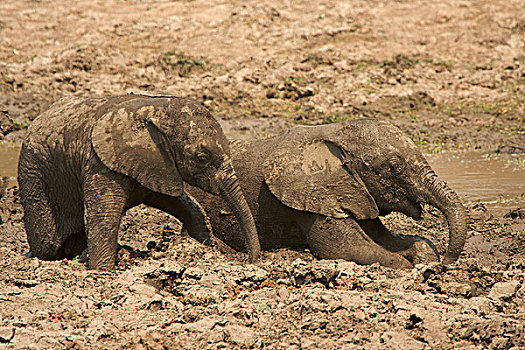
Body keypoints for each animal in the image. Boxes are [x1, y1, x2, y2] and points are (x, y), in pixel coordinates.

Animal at [17, 94, 260, 270]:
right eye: (202, 158)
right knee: (47, 243)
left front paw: (204, 246)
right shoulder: (100, 163)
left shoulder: (156, 165)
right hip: (33, 172)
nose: (253, 261)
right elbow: (103, 218)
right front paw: (102, 271)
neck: (157, 108)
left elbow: (185, 205)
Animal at [185, 119, 466, 270]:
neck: (334, 133)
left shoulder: (353, 192)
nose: (447, 262)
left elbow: (385, 238)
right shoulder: (311, 197)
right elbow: (347, 248)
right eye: (394, 167)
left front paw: (427, 258)